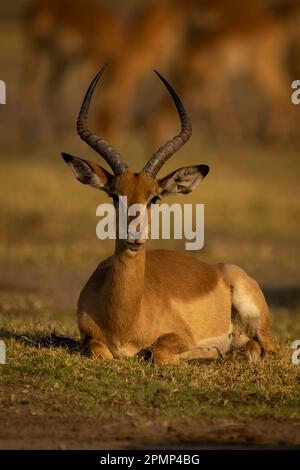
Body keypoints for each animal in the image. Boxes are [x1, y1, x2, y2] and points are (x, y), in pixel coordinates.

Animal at [62, 67, 276, 364]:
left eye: (154, 197)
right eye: (115, 195)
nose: (135, 236)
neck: (125, 322)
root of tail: (217, 269)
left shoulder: (179, 336)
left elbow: (159, 353)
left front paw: (206, 351)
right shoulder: (89, 338)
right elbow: (101, 352)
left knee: (270, 348)